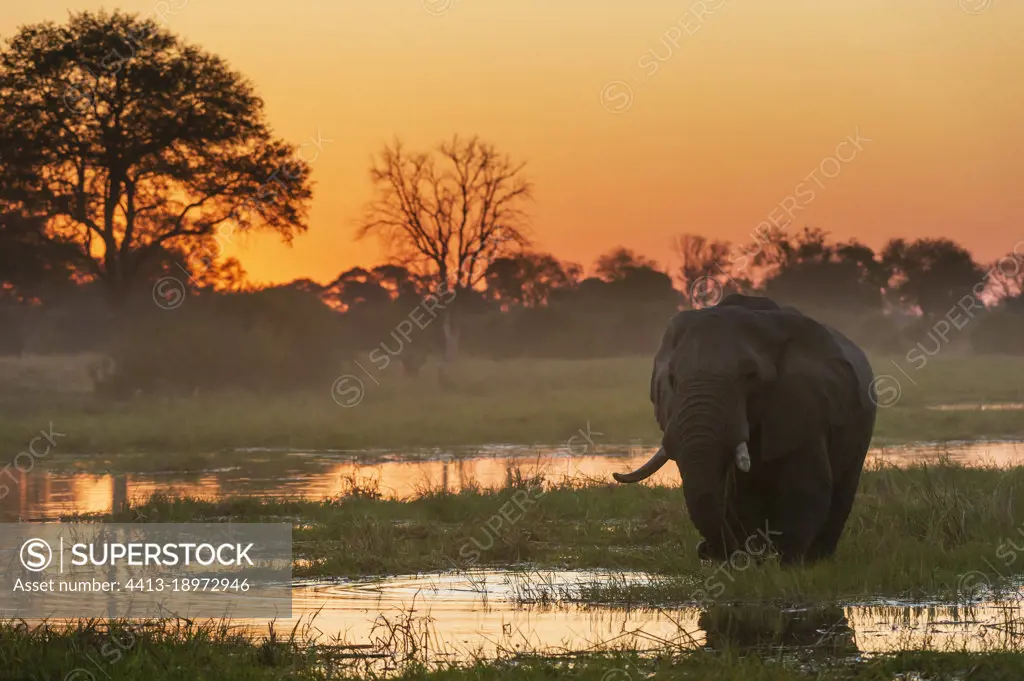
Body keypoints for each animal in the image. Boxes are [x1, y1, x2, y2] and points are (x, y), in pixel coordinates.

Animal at [610, 292, 876, 561]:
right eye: (672, 379)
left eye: (751, 376)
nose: (705, 551)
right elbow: (734, 494)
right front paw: (753, 560)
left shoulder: (804, 405)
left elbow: (807, 486)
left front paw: (786, 563)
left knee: (844, 487)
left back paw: (817, 558)